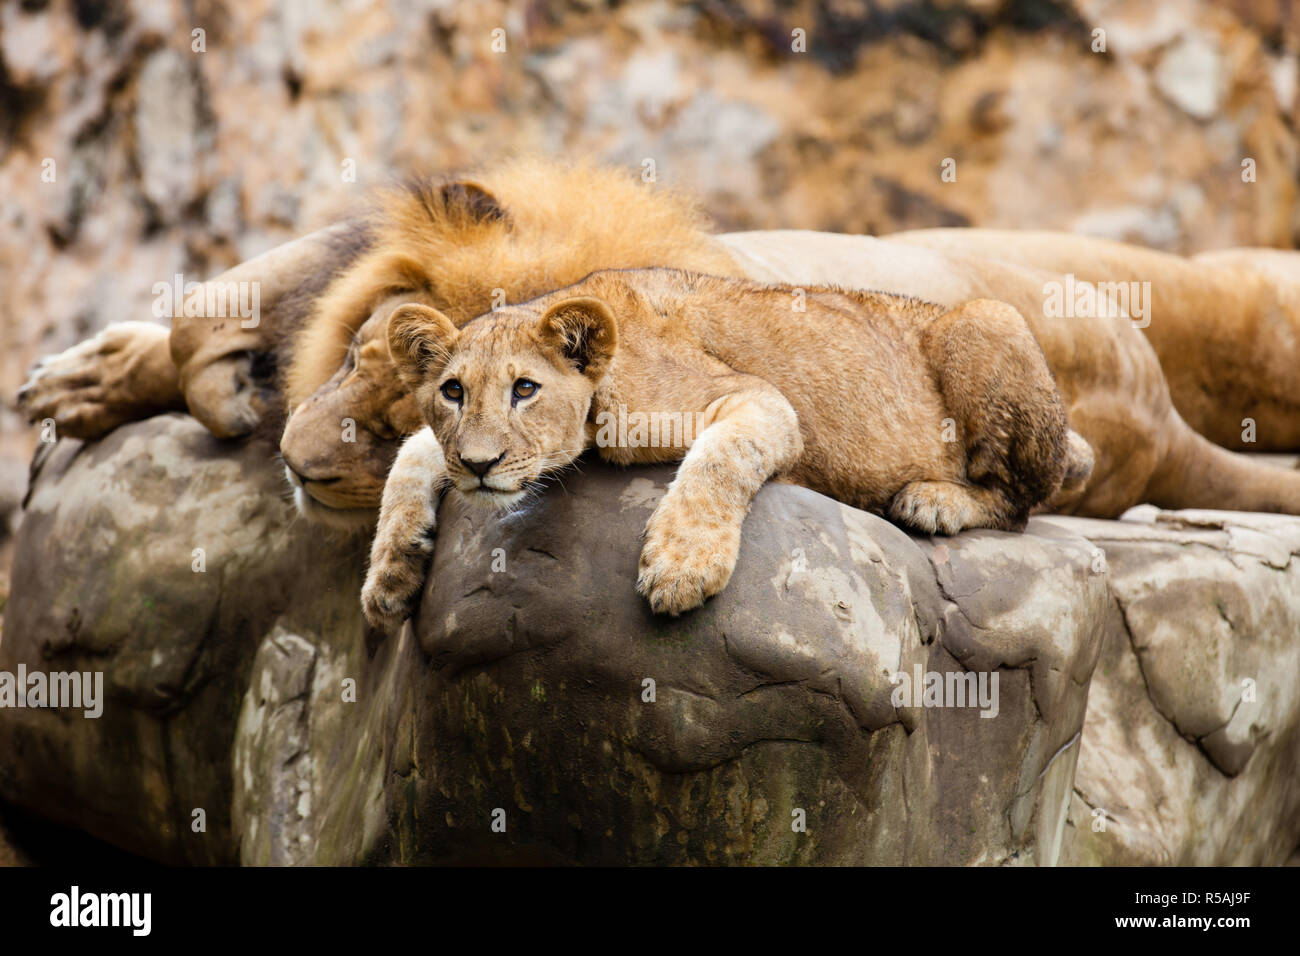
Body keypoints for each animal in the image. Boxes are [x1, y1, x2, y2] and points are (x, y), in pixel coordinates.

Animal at [17, 158, 1300, 529]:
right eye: (389, 370)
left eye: (406, 420)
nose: (295, 459)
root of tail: (1149, 422)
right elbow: (237, 298)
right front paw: (99, 376)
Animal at [360, 269, 1093, 628]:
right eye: (453, 391)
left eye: (525, 389)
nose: (479, 465)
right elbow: (411, 453)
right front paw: (390, 576)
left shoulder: (761, 398)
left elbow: (718, 459)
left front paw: (681, 567)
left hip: (987, 320)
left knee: (1020, 501)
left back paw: (933, 502)